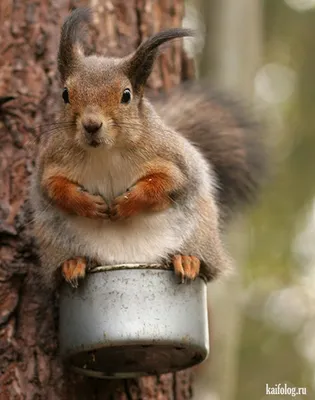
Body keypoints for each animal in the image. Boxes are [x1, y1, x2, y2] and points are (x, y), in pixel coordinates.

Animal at [30, 7, 266, 288]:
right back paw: (73, 264)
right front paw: (86, 203)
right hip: (57, 244)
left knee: (205, 265)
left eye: (126, 95)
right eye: (66, 94)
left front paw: (126, 203)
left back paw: (187, 260)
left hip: (201, 235)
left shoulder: (172, 159)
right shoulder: (51, 163)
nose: (91, 125)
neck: (105, 152)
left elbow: (166, 183)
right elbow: (53, 188)